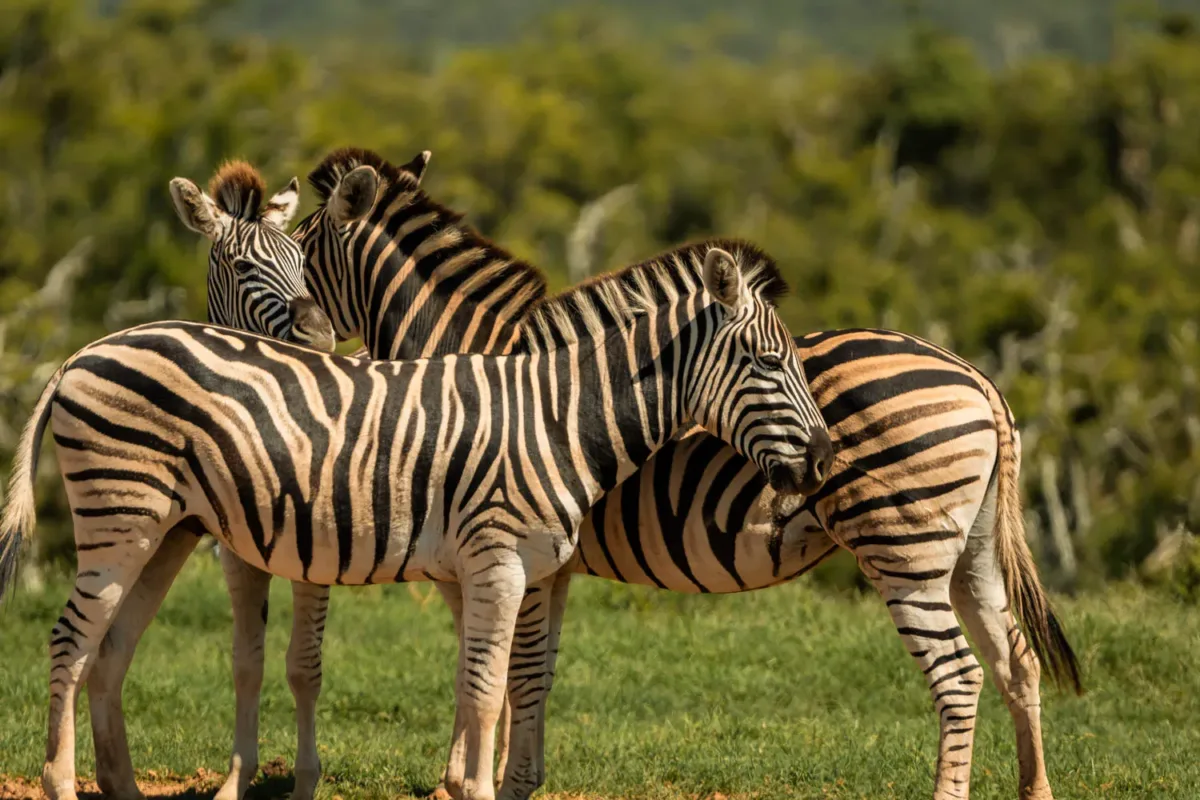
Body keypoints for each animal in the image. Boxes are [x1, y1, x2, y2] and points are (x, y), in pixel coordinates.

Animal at [0, 237, 831, 800]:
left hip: (167, 528)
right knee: (71, 640)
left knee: (110, 650)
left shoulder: (494, 570)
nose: (825, 459)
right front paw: (480, 789)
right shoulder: (498, 561)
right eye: (767, 362)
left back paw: (123, 787)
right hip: (122, 512)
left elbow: (482, 683)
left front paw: (464, 783)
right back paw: (61, 783)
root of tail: (86, 350)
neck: (559, 418)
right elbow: (491, 689)